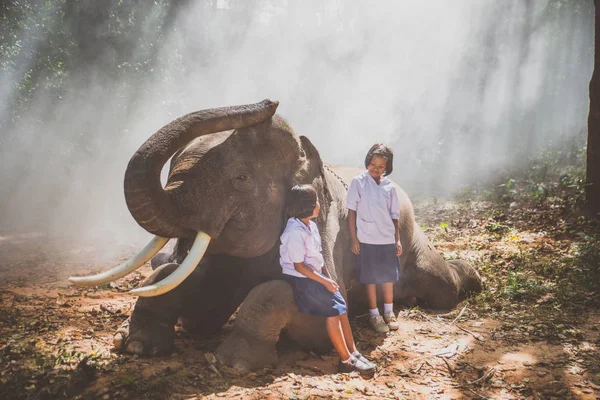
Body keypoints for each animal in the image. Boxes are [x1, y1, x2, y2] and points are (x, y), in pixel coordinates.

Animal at [70, 100, 482, 372]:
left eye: (240, 178)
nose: (268, 103)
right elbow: (195, 301)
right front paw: (137, 346)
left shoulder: (326, 234)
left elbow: (303, 306)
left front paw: (235, 363)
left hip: (411, 239)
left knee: (441, 285)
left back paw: (471, 277)